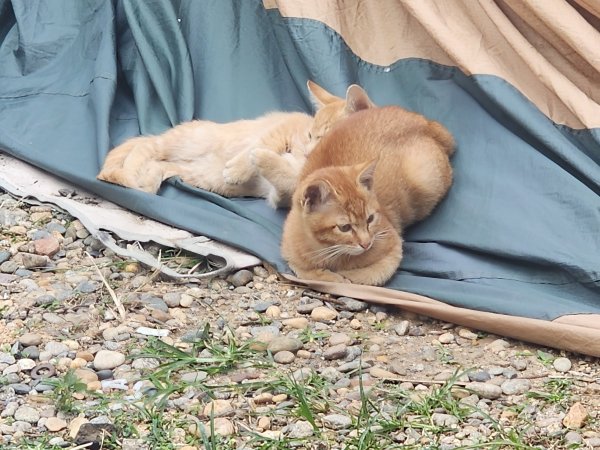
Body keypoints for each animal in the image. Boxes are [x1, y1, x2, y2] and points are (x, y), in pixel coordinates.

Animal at [96, 81, 372, 207]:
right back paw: (127, 174)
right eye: (310, 135)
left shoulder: (283, 196)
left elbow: (288, 181)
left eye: (324, 138)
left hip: (191, 172)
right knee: (144, 146)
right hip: (186, 141)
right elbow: (259, 145)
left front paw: (265, 161)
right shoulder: (281, 127)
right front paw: (241, 167)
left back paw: (144, 182)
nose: (307, 152)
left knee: (156, 165)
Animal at [282, 105, 454, 284]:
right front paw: (325, 275)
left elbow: (366, 276)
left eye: (370, 219)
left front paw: (344, 277)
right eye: (344, 227)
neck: (325, 249)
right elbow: (302, 270)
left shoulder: (393, 248)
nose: (366, 243)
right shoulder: (290, 255)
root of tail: (422, 120)